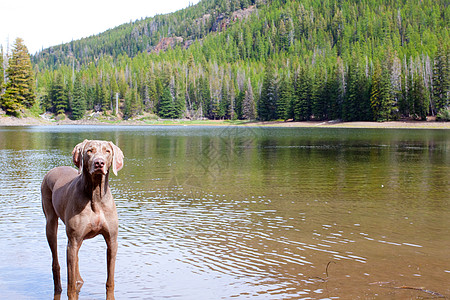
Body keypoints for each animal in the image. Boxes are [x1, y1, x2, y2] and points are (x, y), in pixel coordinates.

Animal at [41, 141, 124, 300]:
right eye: (89, 151)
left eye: (108, 151)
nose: (99, 163)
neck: (96, 196)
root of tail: (53, 170)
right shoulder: (73, 240)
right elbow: (71, 287)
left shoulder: (112, 240)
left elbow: (110, 280)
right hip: (50, 222)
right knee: (56, 260)